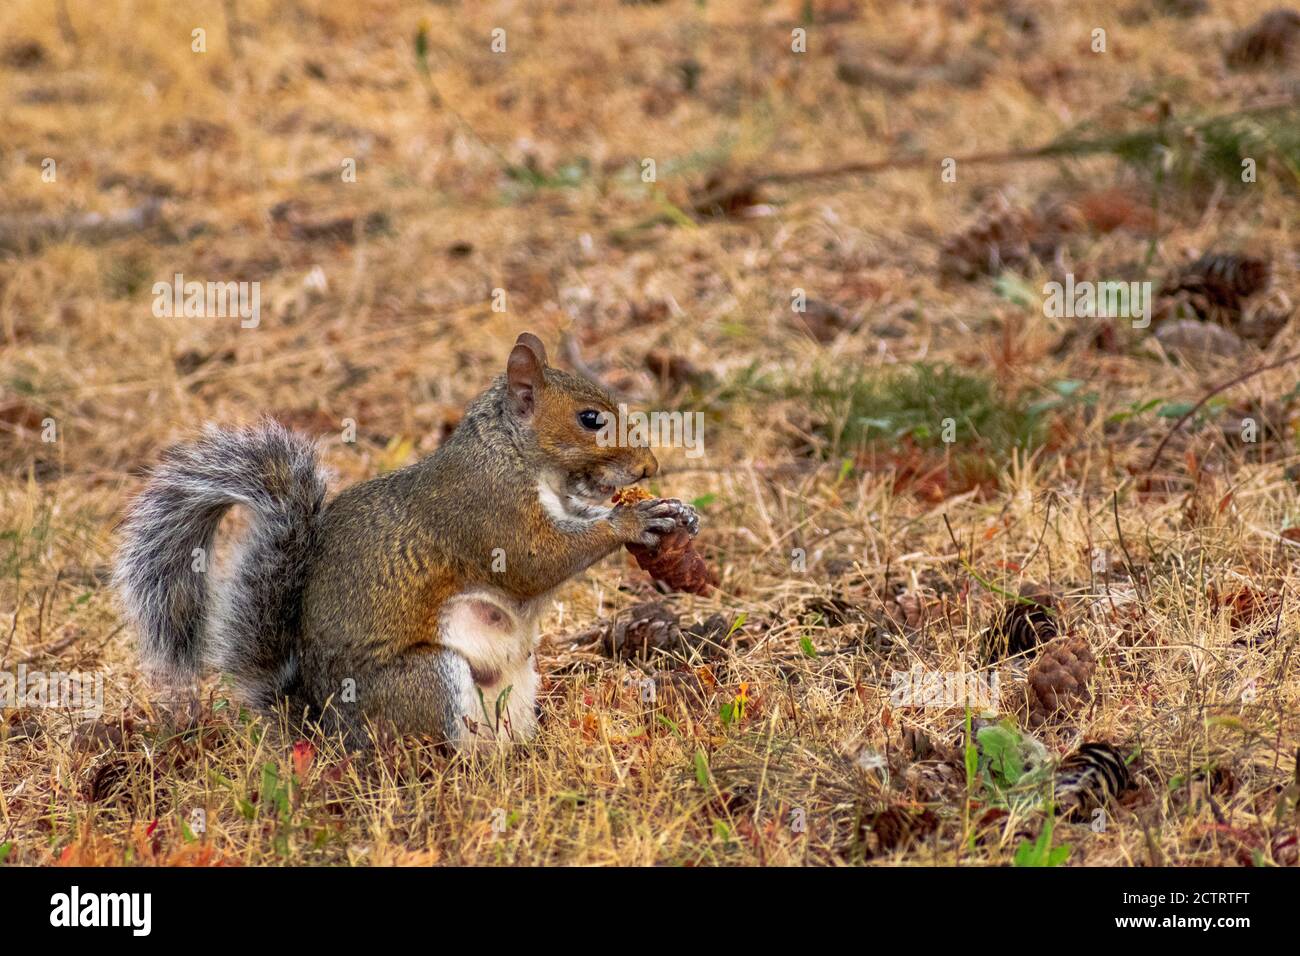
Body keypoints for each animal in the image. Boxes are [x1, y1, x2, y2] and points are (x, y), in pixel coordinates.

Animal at [113, 332, 700, 749]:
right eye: (590, 418)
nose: (650, 467)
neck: (514, 456)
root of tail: (328, 735)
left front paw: (675, 510)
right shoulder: (486, 512)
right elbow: (535, 562)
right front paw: (633, 519)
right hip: (429, 681)